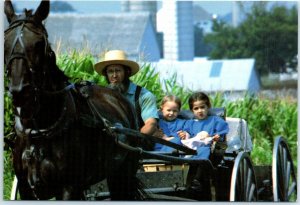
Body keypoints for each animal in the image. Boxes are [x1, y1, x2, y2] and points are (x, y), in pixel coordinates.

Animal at [4, 0, 149, 199]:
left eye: (39, 43)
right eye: (5, 41)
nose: (19, 91)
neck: (40, 129)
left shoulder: (68, 187)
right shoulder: (26, 189)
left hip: (123, 173)